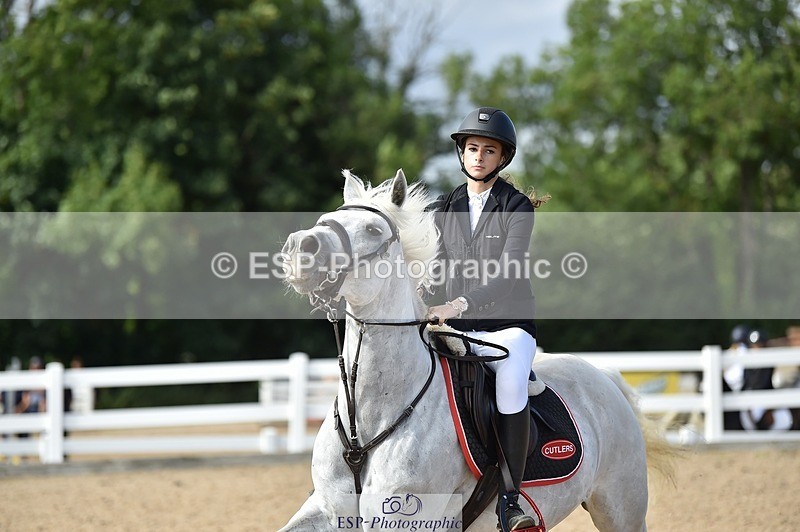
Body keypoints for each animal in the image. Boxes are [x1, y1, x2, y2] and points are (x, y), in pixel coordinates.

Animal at [278, 169, 674, 531]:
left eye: (373, 231)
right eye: (327, 218)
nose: (300, 249)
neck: (368, 420)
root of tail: (603, 376)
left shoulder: (403, 517)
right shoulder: (328, 510)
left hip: (620, 507)